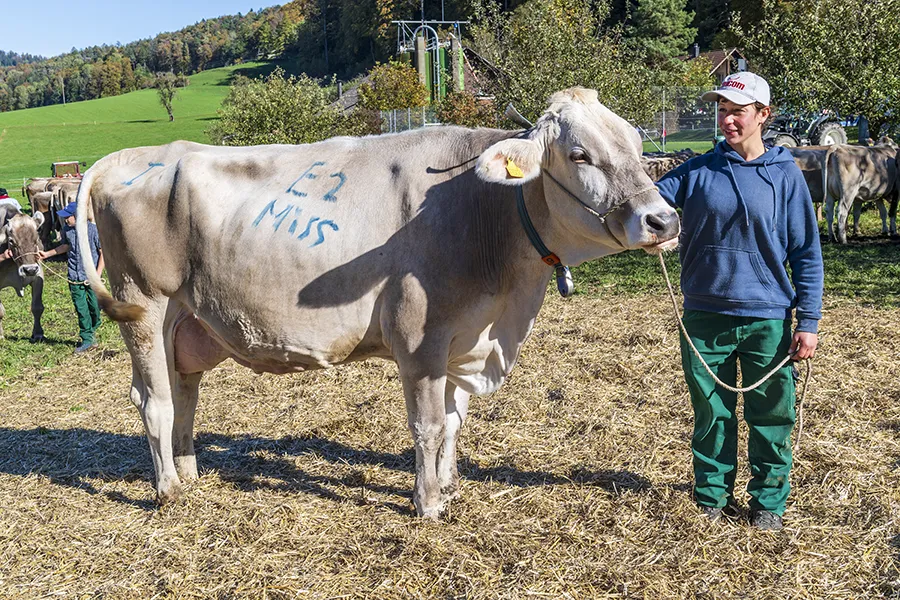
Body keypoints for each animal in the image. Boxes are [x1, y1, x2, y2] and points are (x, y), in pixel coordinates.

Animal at [77, 86, 680, 516]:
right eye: (579, 154)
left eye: (635, 143)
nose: (663, 220)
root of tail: (122, 159)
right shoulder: (420, 338)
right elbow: (428, 425)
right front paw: (428, 503)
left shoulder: (464, 338)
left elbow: (454, 421)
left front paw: (449, 484)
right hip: (144, 305)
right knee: (151, 399)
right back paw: (169, 491)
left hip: (186, 321)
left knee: (183, 393)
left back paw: (189, 472)